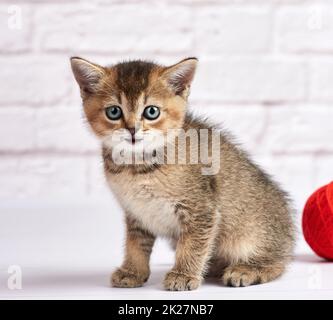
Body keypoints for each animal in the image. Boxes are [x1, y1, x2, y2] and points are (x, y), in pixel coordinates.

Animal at [69, 56, 294, 292]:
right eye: (114, 112)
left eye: (151, 112)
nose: (132, 130)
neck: (137, 167)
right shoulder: (136, 212)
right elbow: (135, 244)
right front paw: (133, 271)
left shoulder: (201, 209)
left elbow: (193, 245)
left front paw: (183, 275)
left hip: (251, 237)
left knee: (277, 263)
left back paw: (247, 269)